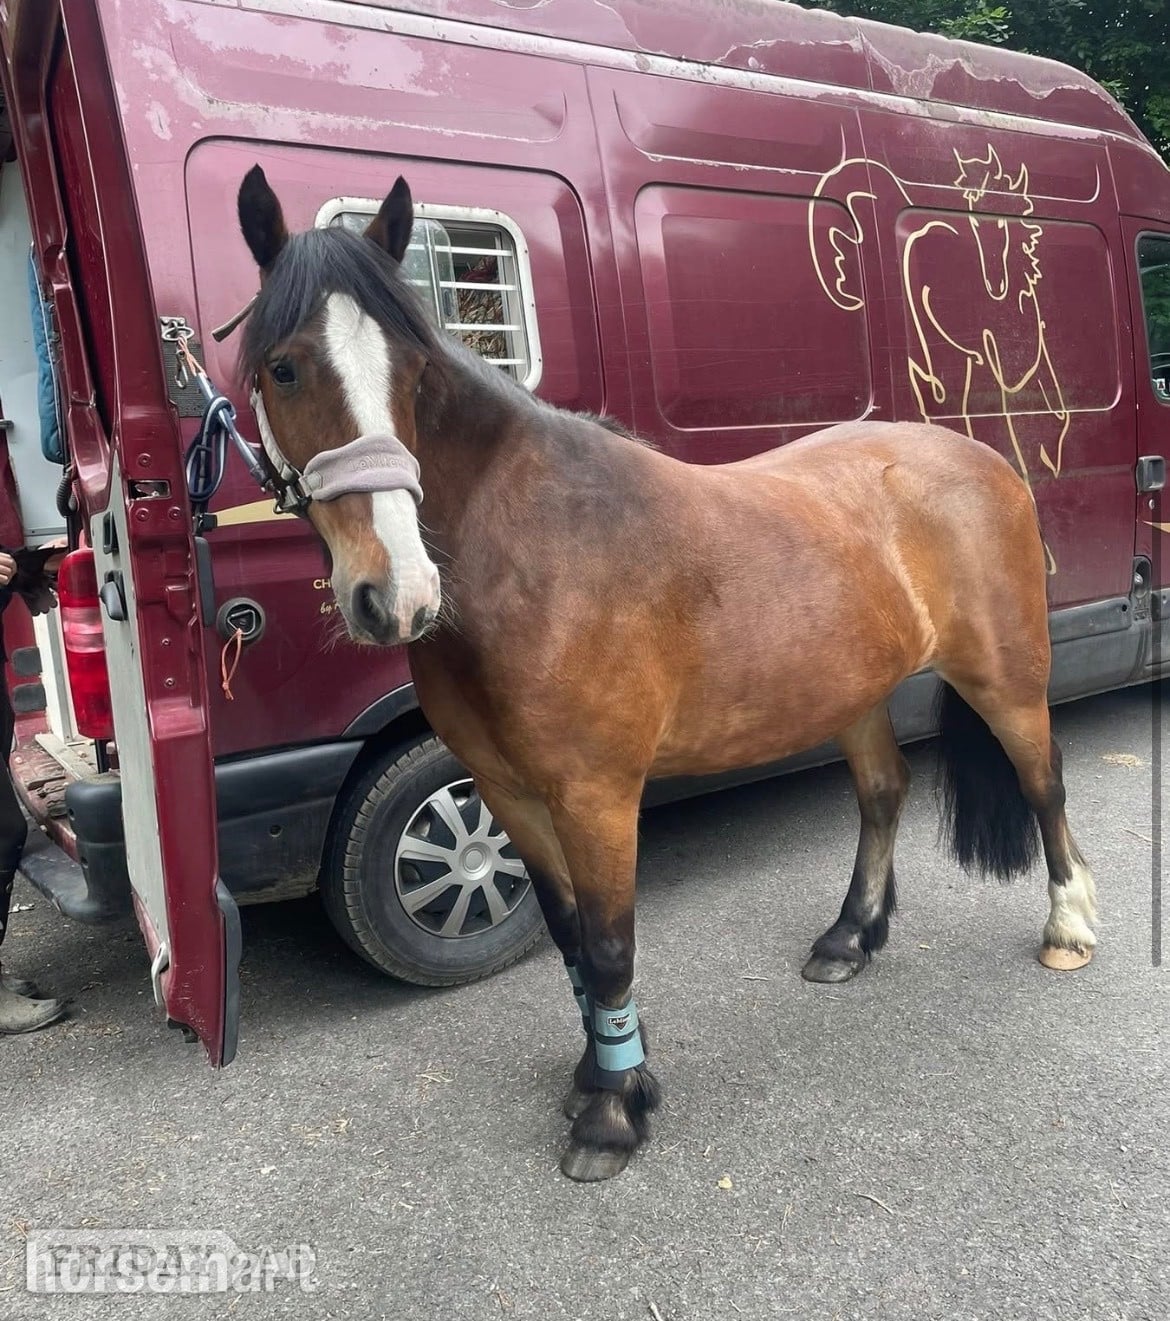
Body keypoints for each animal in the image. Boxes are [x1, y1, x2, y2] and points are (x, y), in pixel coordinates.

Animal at [232, 166, 1098, 1182]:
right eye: (283, 366)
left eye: (412, 374)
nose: (396, 594)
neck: (530, 550)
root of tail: (986, 457)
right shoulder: (506, 791)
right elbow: (569, 936)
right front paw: (604, 1073)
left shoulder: (597, 794)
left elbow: (610, 944)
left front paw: (612, 1116)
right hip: (852, 693)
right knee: (884, 791)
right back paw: (850, 936)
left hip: (1006, 676)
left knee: (1044, 783)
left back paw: (1069, 927)